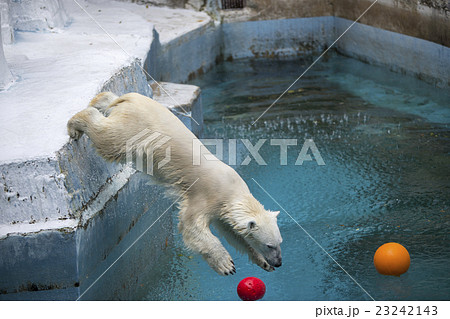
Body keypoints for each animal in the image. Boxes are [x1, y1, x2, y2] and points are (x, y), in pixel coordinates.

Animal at [67, 92, 282, 276]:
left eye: (280, 242)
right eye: (270, 245)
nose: (279, 262)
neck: (233, 192)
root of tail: (130, 98)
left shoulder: (223, 209)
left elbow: (232, 233)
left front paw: (261, 261)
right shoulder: (206, 195)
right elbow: (191, 226)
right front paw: (225, 265)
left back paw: (99, 99)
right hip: (133, 130)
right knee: (108, 139)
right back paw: (75, 125)